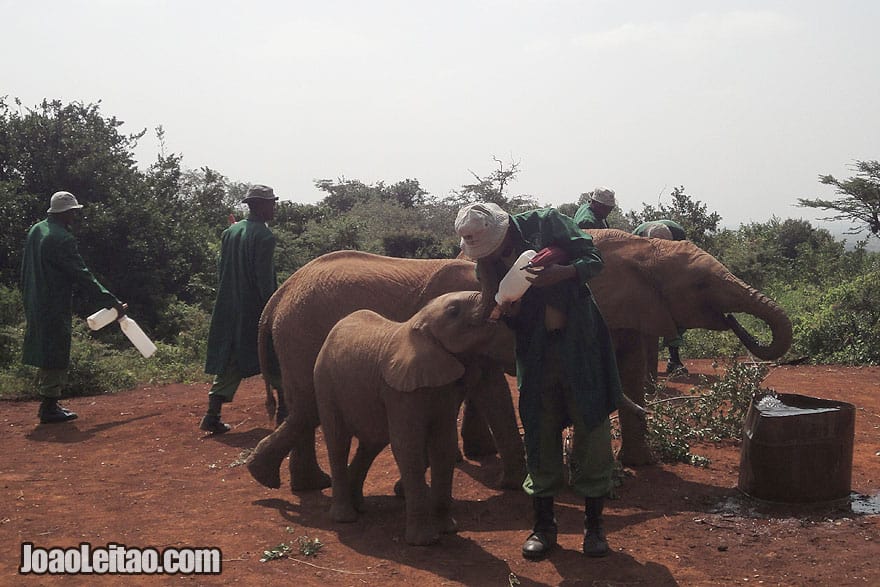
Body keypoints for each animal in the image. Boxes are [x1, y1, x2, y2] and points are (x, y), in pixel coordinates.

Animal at [244, 250, 524, 494]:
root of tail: (278, 296)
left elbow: (489, 390)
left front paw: (507, 482)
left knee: (303, 408)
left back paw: (297, 482)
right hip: (300, 336)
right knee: (307, 404)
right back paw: (293, 481)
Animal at [314, 290, 508, 548]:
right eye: (454, 311)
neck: (418, 324)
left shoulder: (443, 390)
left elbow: (444, 446)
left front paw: (448, 530)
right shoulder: (400, 392)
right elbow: (408, 447)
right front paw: (423, 542)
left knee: (371, 444)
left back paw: (360, 507)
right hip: (325, 384)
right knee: (338, 442)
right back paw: (345, 517)